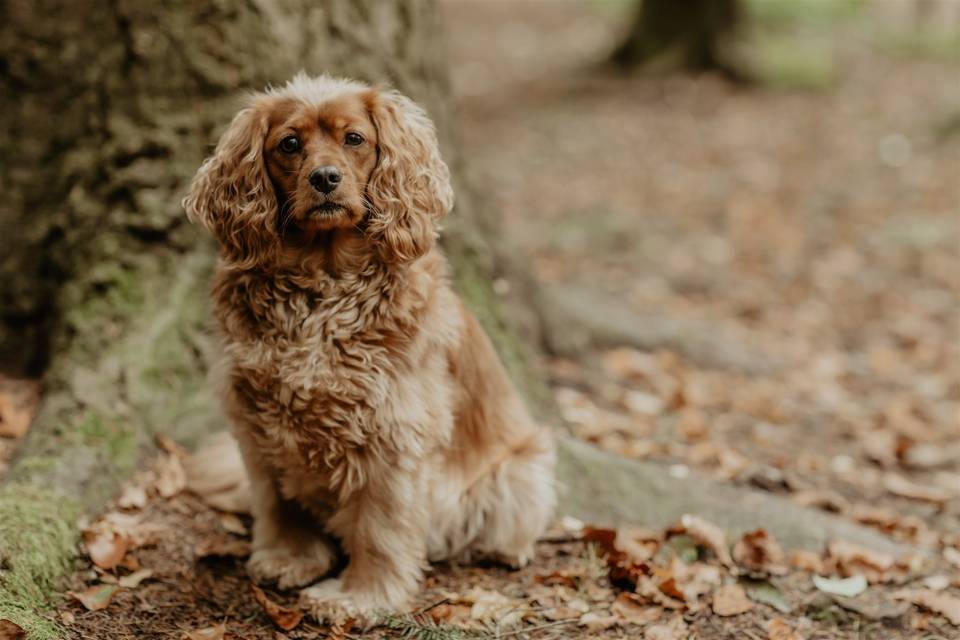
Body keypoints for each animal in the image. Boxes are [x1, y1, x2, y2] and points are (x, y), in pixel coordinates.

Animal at [182, 72, 556, 624]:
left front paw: (362, 598)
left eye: (354, 139)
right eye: (289, 144)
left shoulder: (393, 432)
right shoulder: (256, 419)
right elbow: (276, 499)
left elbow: (380, 527)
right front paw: (290, 557)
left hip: (518, 469)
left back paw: (501, 549)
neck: (321, 287)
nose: (325, 178)